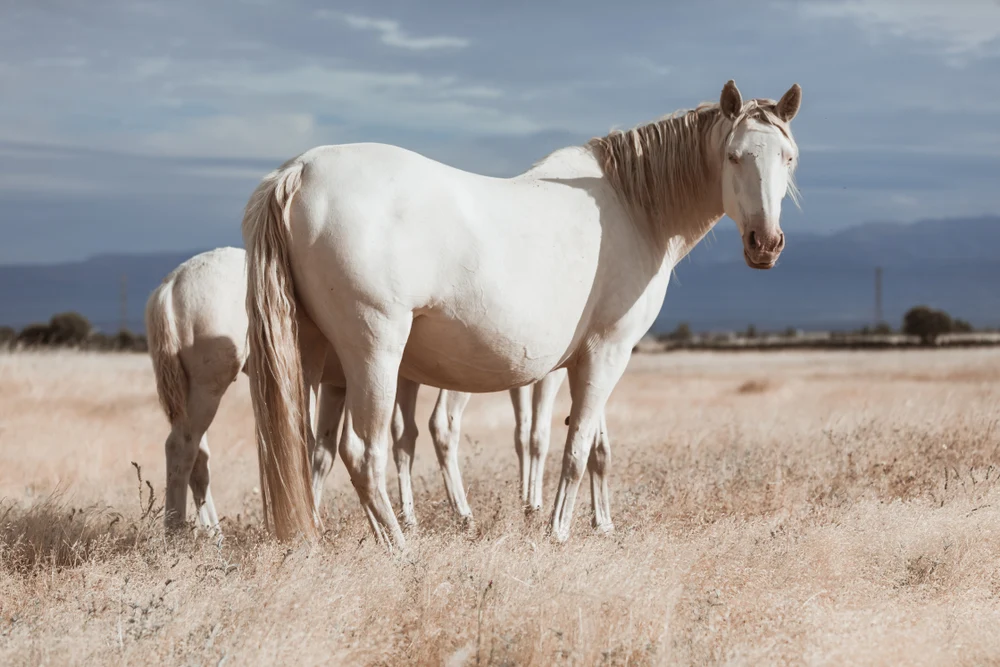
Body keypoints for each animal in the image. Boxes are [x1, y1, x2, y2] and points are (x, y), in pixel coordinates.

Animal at [143, 248, 572, 536]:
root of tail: (169, 286)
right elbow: (514, 434)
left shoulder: (347, 384)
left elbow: (332, 449)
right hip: (209, 385)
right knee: (181, 448)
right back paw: (176, 534)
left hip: (193, 391)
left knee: (197, 456)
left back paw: (210, 534)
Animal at [242, 79, 804, 548]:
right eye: (733, 156)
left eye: (789, 158)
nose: (766, 243)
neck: (633, 206)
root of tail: (299, 173)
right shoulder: (609, 351)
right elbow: (575, 450)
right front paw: (557, 531)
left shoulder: (587, 360)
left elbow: (596, 446)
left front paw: (602, 524)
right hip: (374, 356)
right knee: (364, 454)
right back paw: (400, 548)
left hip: (313, 361)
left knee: (306, 454)